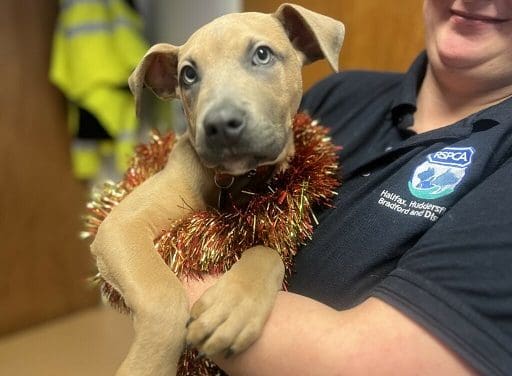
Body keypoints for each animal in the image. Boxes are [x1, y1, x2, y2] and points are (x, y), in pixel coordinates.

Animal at [91, 3, 344, 376]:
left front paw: (234, 306)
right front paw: (147, 364)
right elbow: (164, 294)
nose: (221, 124)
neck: (231, 182)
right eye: (188, 75)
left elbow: (267, 252)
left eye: (262, 54)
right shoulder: (119, 227)